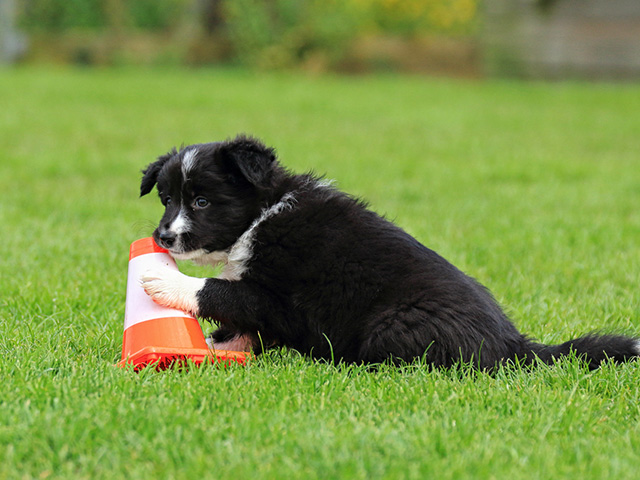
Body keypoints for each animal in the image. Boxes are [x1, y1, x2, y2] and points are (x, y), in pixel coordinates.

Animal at [139, 134, 638, 369]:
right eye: (166, 198)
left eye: (202, 201)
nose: (163, 238)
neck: (262, 214)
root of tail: (515, 346)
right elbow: (242, 324)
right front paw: (209, 345)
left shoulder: (280, 300)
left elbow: (220, 290)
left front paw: (165, 280)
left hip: (394, 322)